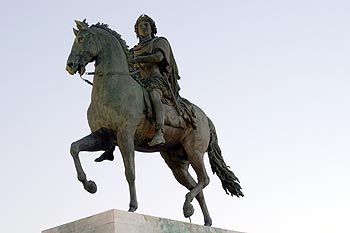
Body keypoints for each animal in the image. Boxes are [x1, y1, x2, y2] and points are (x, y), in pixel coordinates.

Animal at [65, 19, 243, 227]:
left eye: (80, 39)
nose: (70, 65)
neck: (114, 86)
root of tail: (205, 118)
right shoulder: (102, 137)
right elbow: (74, 148)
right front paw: (90, 185)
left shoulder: (125, 136)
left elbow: (130, 172)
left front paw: (132, 206)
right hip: (176, 162)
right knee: (196, 186)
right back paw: (205, 220)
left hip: (194, 151)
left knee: (204, 179)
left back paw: (187, 207)